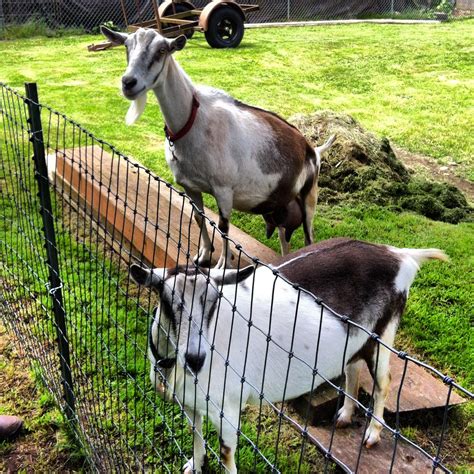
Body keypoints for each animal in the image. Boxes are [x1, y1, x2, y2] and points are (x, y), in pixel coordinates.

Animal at [102, 26, 336, 266]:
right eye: (126, 46)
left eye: (162, 50)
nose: (128, 83)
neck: (193, 120)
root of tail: (313, 151)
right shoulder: (190, 186)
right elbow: (199, 217)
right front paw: (204, 254)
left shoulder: (224, 189)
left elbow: (224, 227)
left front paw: (224, 263)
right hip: (281, 207)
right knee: (284, 239)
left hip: (309, 198)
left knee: (309, 238)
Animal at [130, 239, 448, 472]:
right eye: (167, 300)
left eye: (214, 301)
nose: (196, 358)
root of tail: (399, 255)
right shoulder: (192, 403)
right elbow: (195, 433)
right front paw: (194, 465)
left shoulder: (227, 408)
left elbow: (227, 453)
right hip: (356, 337)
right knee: (352, 368)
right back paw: (345, 416)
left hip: (385, 334)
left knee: (384, 381)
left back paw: (372, 434)